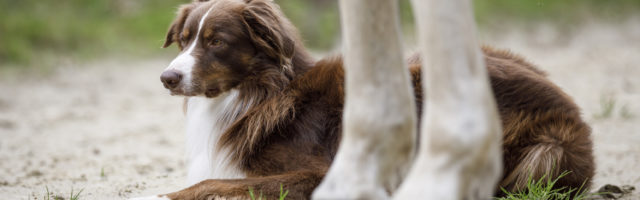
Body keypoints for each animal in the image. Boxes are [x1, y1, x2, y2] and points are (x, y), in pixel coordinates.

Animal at [131, 0, 596, 199]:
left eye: (217, 41)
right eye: (185, 39)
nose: (167, 78)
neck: (257, 92)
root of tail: (573, 111)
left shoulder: (314, 172)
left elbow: (212, 184)